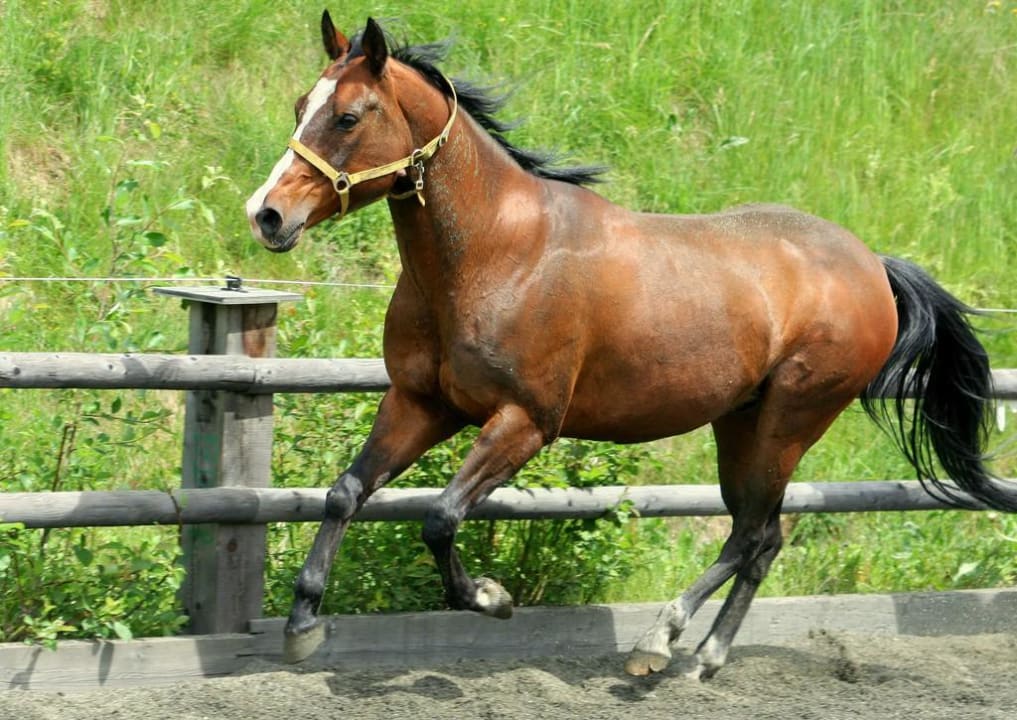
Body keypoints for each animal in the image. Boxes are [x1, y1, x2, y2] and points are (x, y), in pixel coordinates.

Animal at [245, 13, 1017, 679]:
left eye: (348, 116)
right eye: (298, 105)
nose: (267, 215)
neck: (495, 253)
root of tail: (871, 267)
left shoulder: (525, 421)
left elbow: (439, 518)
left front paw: (492, 599)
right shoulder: (422, 403)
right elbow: (346, 492)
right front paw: (302, 626)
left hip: (791, 419)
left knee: (750, 534)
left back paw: (659, 641)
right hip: (740, 422)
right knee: (763, 535)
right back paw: (704, 658)